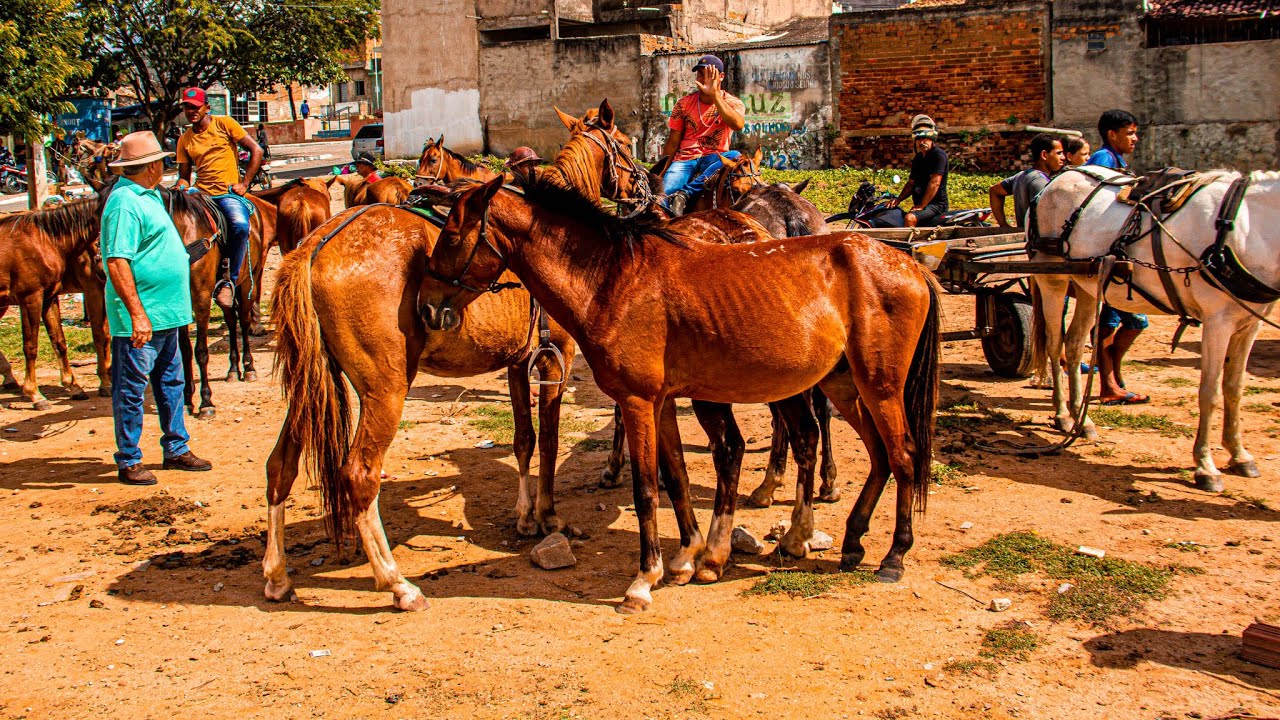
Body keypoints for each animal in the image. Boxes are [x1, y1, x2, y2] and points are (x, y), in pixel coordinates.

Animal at [0, 201, 111, 409]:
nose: (102, 270)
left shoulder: (50, 297)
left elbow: (61, 342)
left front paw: (77, 386)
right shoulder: (89, 288)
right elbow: (99, 335)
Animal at [263, 100, 650, 611]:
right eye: (624, 143)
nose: (645, 187)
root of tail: (313, 248)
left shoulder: (516, 363)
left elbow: (523, 439)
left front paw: (525, 516)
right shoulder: (555, 359)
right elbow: (548, 441)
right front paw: (548, 516)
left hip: (310, 385)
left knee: (280, 466)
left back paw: (277, 574)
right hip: (385, 390)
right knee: (360, 475)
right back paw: (397, 583)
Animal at [420, 172, 942, 613]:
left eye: (451, 235)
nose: (426, 308)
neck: (613, 282)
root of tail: (908, 263)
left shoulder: (636, 402)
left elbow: (646, 489)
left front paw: (642, 581)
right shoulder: (662, 402)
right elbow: (676, 478)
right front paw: (688, 557)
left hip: (879, 387)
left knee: (903, 456)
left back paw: (893, 555)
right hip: (844, 386)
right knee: (870, 453)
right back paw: (842, 540)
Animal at [1031, 167, 1280, 492]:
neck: (1248, 227)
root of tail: (1059, 178)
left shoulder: (1250, 323)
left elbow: (1234, 388)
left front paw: (1239, 454)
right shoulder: (1217, 322)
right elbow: (1210, 393)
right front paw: (1206, 466)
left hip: (1087, 283)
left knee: (1073, 345)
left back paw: (1082, 421)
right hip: (1053, 281)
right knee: (1054, 344)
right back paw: (1061, 414)